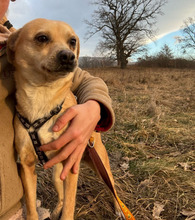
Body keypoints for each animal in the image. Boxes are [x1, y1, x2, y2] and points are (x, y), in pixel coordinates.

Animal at [6, 18, 121, 220]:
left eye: (72, 41)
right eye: (42, 38)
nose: (68, 56)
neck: (42, 95)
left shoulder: (71, 166)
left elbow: (70, 206)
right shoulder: (27, 166)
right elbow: (31, 205)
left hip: (100, 163)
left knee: (112, 185)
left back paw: (119, 209)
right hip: (57, 175)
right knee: (60, 196)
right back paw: (56, 210)